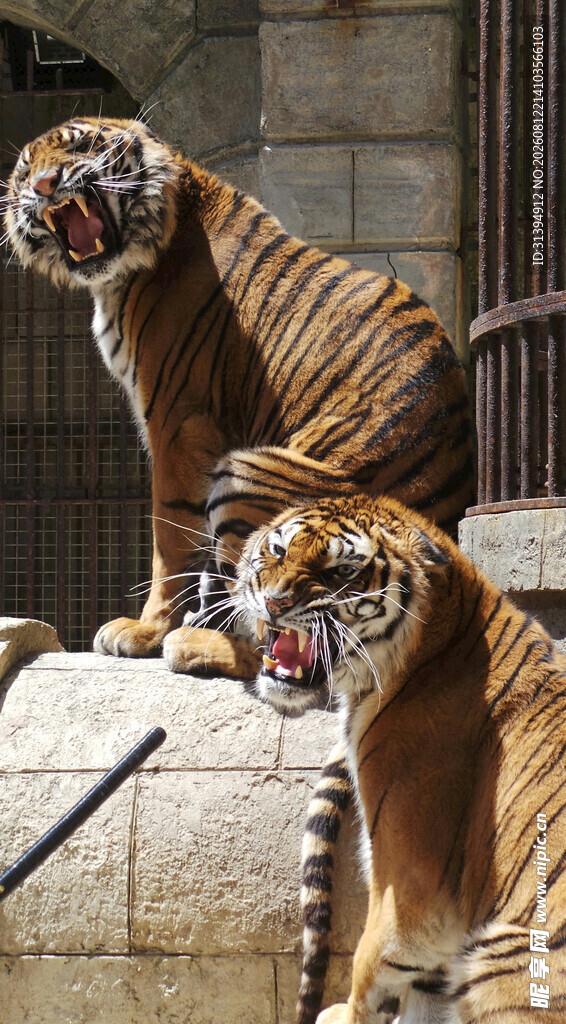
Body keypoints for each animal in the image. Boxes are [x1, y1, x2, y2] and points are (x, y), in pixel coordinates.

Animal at [4, 115, 473, 680]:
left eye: (80, 145)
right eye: (25, 170)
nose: (44, 185)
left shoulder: (178, 421)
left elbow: (170, 538)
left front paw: (146, 631)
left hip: (246, 473)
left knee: (285, 638)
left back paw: (188, 642)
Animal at [234, 494, 566, 1024]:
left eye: (341, 571)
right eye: (278, 549)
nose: (275, 602)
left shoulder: (410, 880)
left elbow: (372, 962)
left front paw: (341, 1014)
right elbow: (424, 996)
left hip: (503, 959)